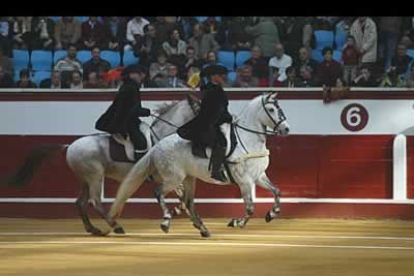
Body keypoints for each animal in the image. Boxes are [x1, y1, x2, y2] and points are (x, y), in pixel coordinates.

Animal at [1, 94, 199, 235]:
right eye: (199, 108)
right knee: (94, 201)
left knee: (81, 202)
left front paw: (183, 215)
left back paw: (93, 229)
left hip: (85, 179)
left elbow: (183, 196)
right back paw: (115, 226)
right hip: (95, 176)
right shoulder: (166, 177)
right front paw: (176, 216)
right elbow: (181, 195)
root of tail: (69, 146)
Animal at [109, 92, 292, 237]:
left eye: (279, 107)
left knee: (189, 202)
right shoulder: (245, 181)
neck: (248, 140)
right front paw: (236, 222)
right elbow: (250, 208)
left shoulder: (259, 177)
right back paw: (166, 221)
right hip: (173, 179)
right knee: (159, 193)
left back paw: (202, 229)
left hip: (189, 179)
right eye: (271, 109)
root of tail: (157, 146)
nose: (286, 129)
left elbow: (277, 191)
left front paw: (271, 214)